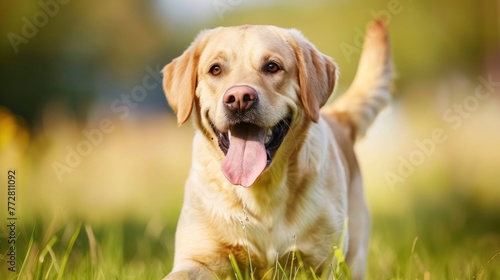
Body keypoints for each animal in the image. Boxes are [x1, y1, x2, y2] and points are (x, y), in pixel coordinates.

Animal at [162, 20, 392, 280]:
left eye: (272, 66)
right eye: (215, 69)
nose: (239, 98)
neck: (261, 189)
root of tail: (338, 116)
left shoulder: (322, 264)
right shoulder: (197, 258)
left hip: (354, 255)